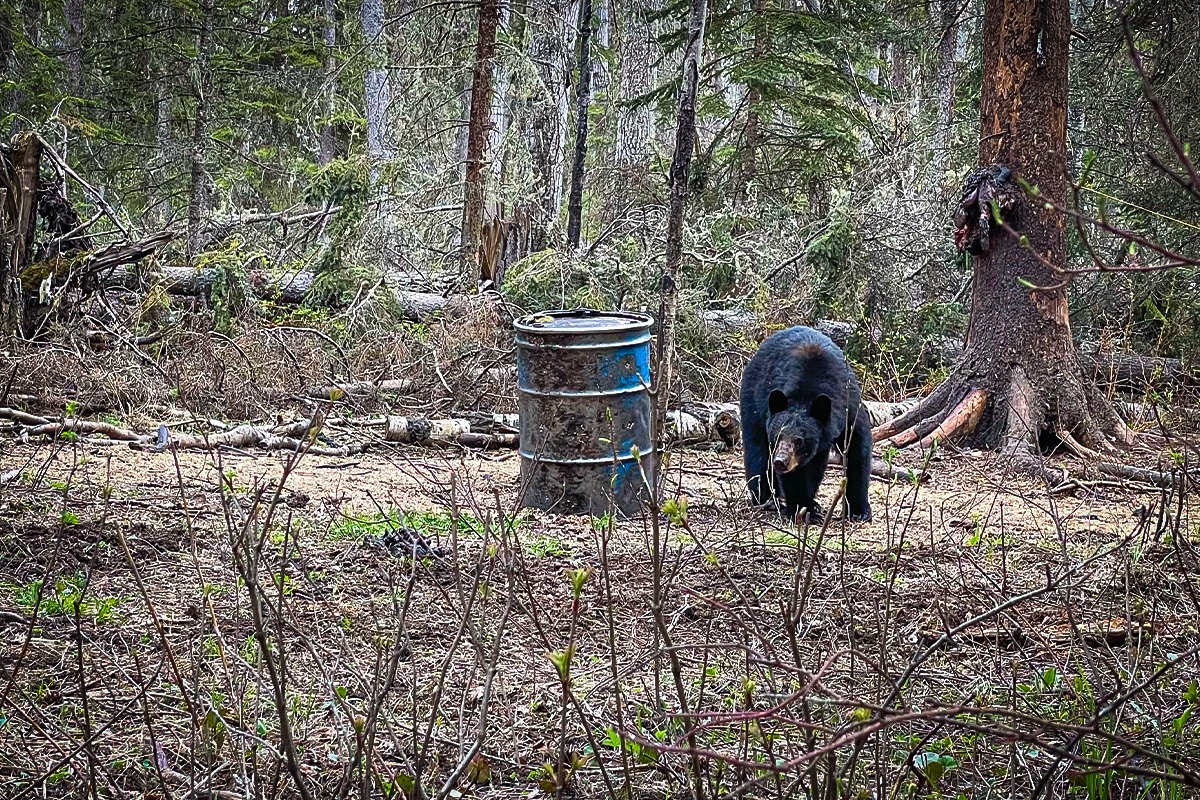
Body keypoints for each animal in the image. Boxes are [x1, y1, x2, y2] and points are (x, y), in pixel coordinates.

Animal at [739, 326, 873, 525]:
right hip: (753, 401)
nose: (780, 461)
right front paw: (802, 510)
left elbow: (857, 452)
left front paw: (859, 510)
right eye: (777, 436)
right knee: (757, 450)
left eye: (799, 440)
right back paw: (766, 497)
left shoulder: (849, 405)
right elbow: (795, 475)